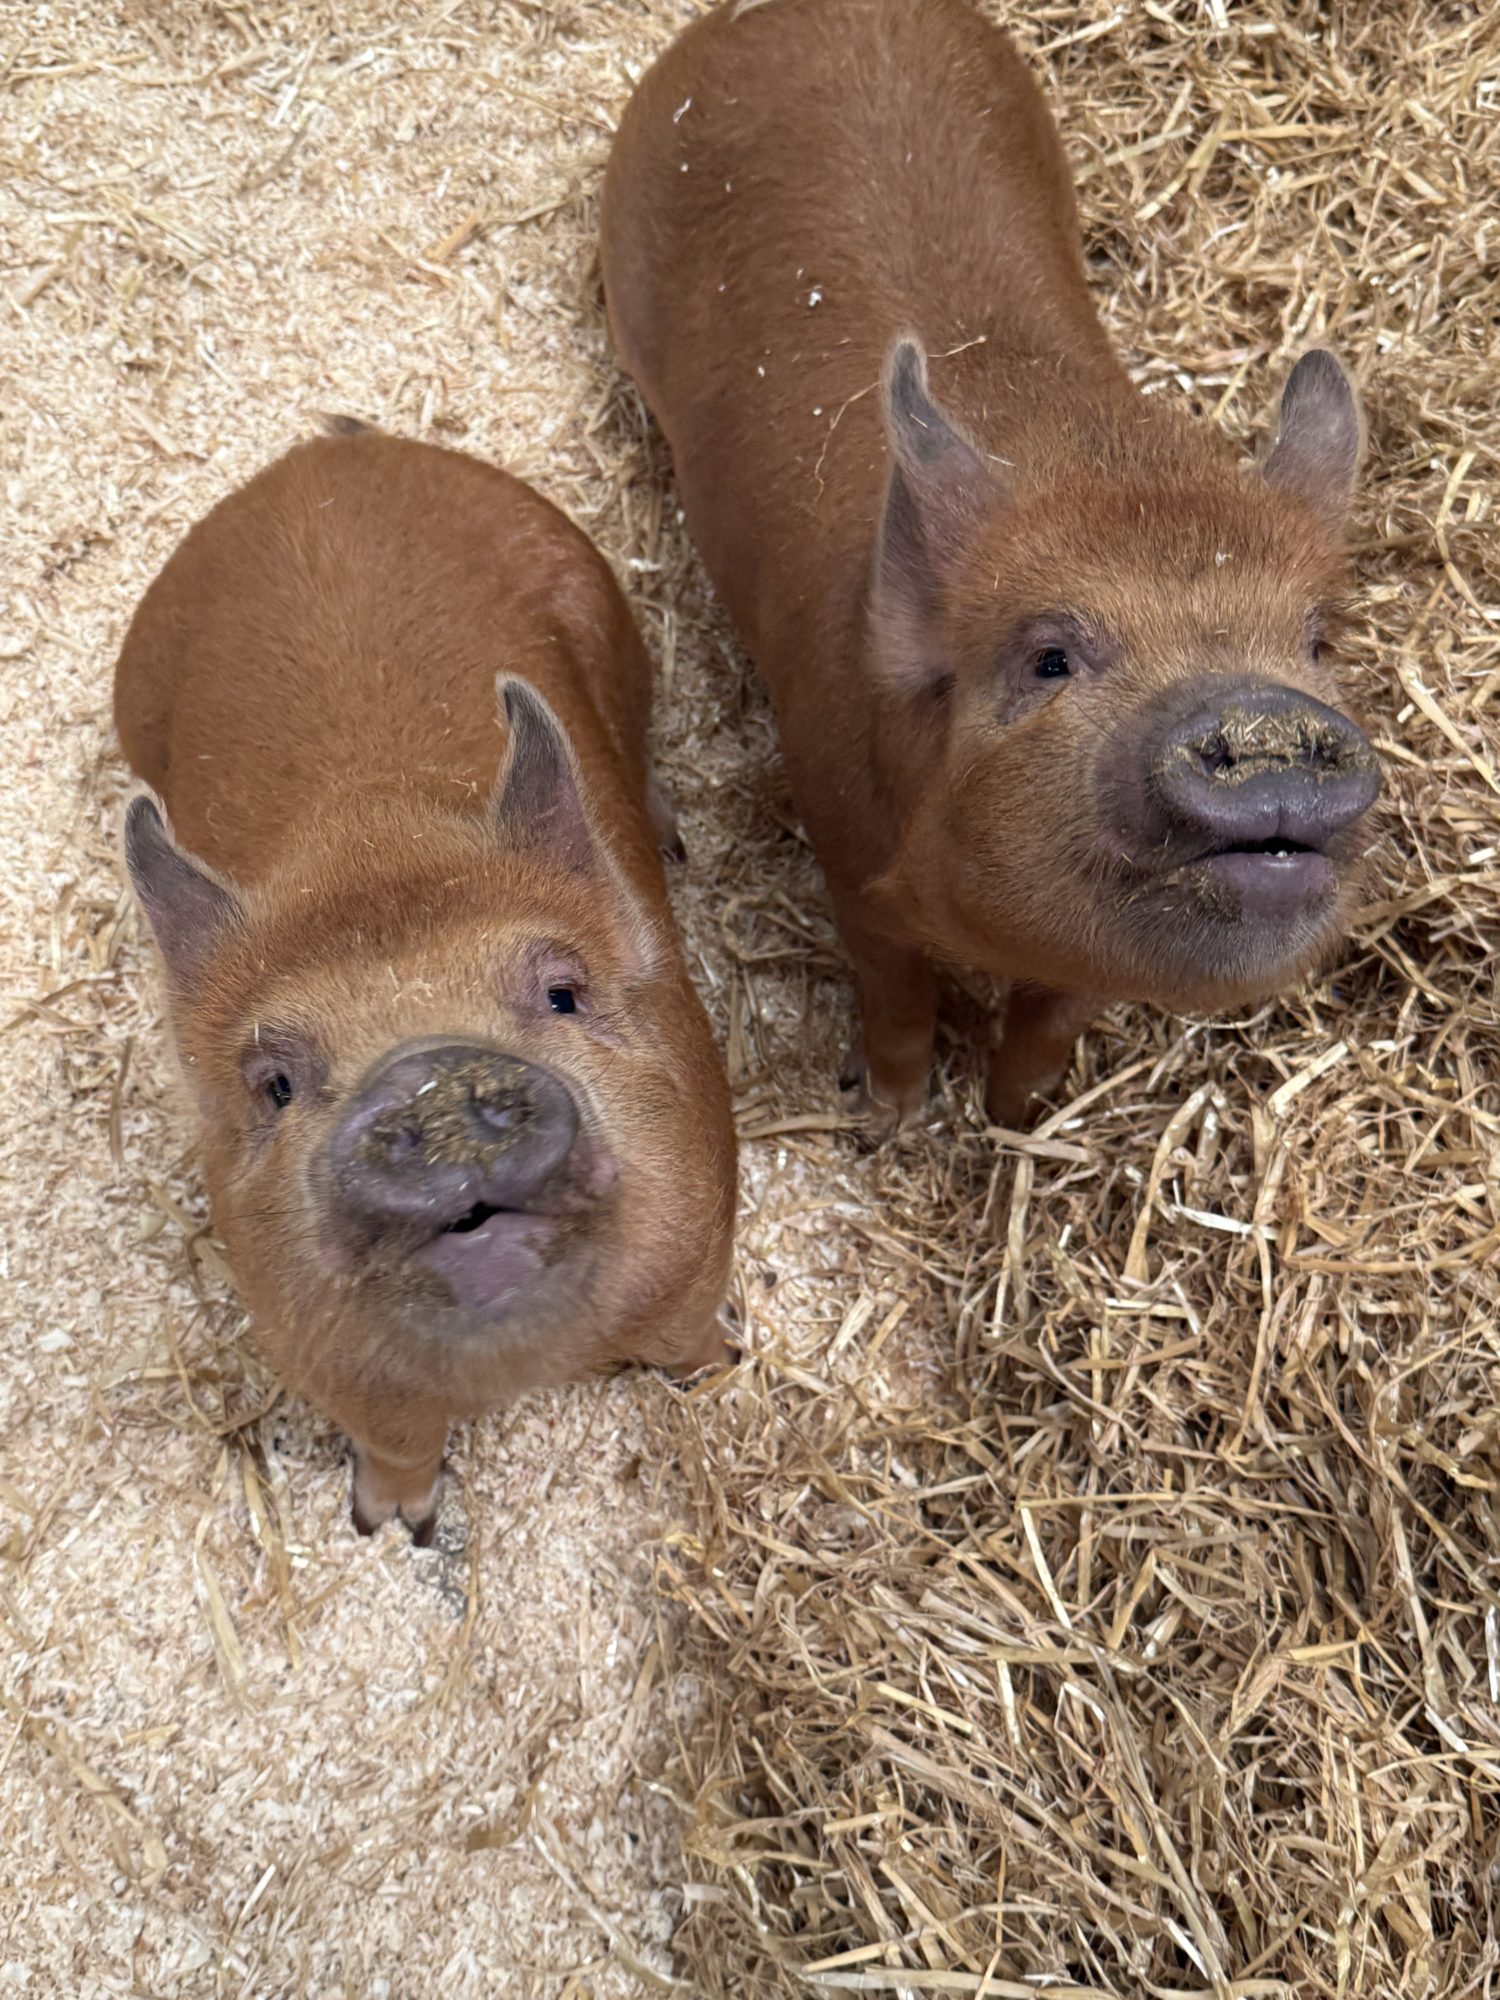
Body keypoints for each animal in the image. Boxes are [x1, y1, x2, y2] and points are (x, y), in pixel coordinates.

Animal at [115, 429, 737, 1541]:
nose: (426, 1076)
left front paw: (726, 1367)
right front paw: (389, 1526)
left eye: (563, 992)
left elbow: (687, 1339)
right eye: (275, 1083)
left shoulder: (704, 1221)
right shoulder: (308, 1340)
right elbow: (399, 1438)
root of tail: (321, 460)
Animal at [600, 0, 1382, 1133]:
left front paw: (1019, 1118)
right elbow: (895, 995)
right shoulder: (846, 853)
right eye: (1049, 656)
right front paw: (885, 1119)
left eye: (1318, 642)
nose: (1266, 713)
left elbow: (1054, 1020)